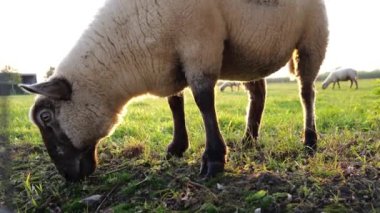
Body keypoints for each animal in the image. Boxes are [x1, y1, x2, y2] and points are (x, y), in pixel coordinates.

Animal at [19, 0, 328, 181]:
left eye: (46, 118)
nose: (68, 177)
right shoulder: (169, 64)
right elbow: (175, 104)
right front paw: (177, 147)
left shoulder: (199, 47)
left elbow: (203, 101)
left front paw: (214, 159)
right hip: (247, 53)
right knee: (258, 93)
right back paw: (249, 139)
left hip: (312, 39)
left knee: (306, 93)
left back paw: (309, 139)